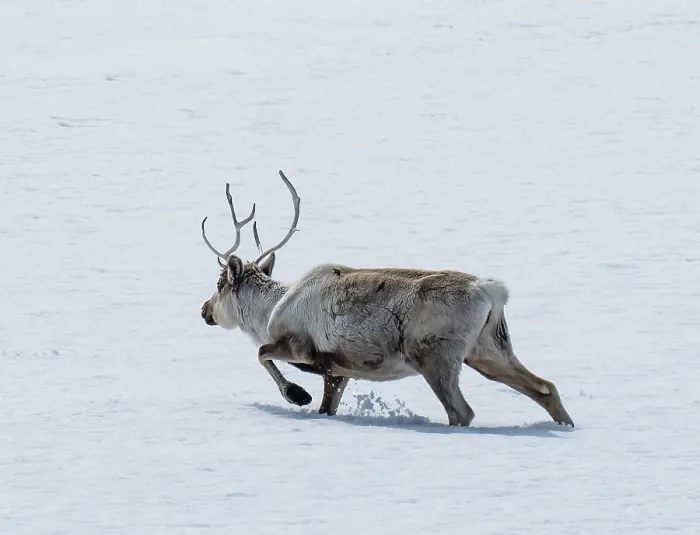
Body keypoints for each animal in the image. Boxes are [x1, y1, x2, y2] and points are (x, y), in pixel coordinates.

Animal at [200, 170, 575, 427]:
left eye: (219, 284)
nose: (204, 310)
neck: (267, 314)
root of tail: (491, 291)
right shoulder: (338, 371)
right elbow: (326, 406)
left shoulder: (301, 347)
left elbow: (262, 354)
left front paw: (297, 394)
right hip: (488, 350)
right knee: (545, 387)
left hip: (434, 354)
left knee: (461, 411)